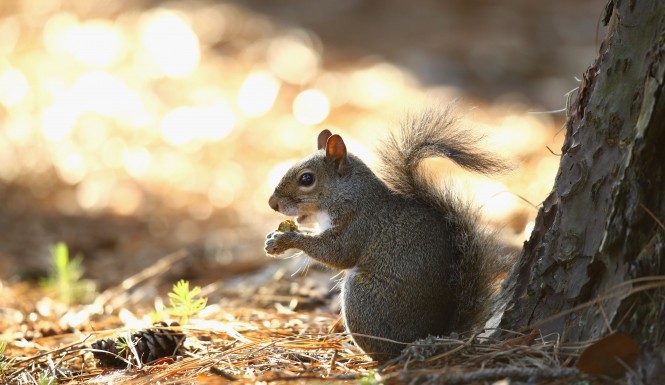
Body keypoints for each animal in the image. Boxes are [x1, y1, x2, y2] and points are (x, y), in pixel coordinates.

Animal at [264, 105, 508, 360]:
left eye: (307, 179)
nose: (272, 203)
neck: (350, 192)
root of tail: (436, 333)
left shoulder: (360, 222)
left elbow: (338, 253)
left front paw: (287, 239)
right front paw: (274, 237)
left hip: (363, 296)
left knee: (383, 352)